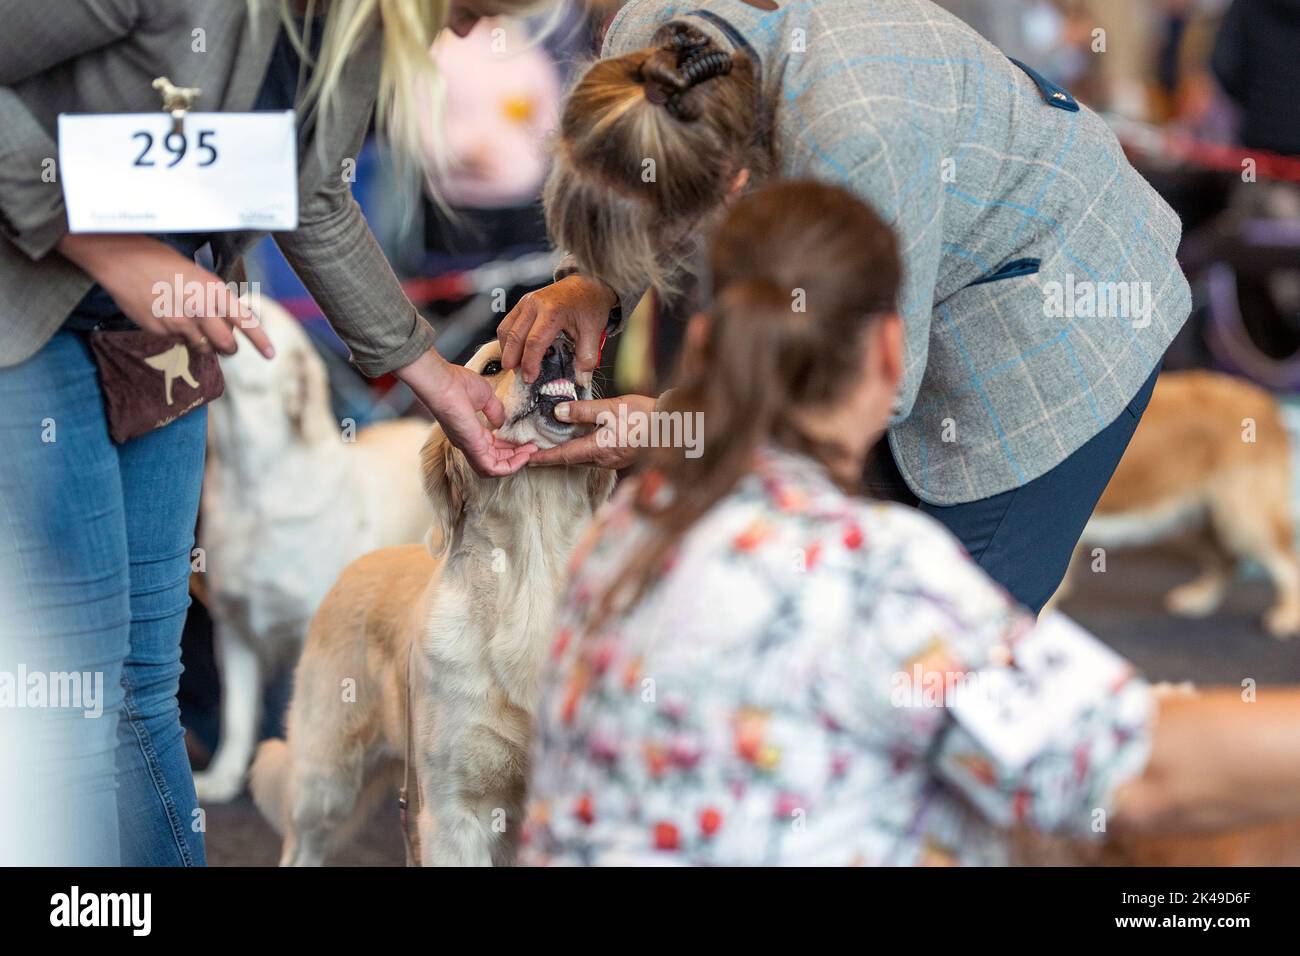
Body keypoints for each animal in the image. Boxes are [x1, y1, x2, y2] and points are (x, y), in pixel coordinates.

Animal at [1066, 369, 1300, 639]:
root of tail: (1266, 403)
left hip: (1244, 518)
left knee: (1289, 564)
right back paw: (1200, 600)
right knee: (1226, 561)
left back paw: (1289, 616)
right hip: (1204, 517)